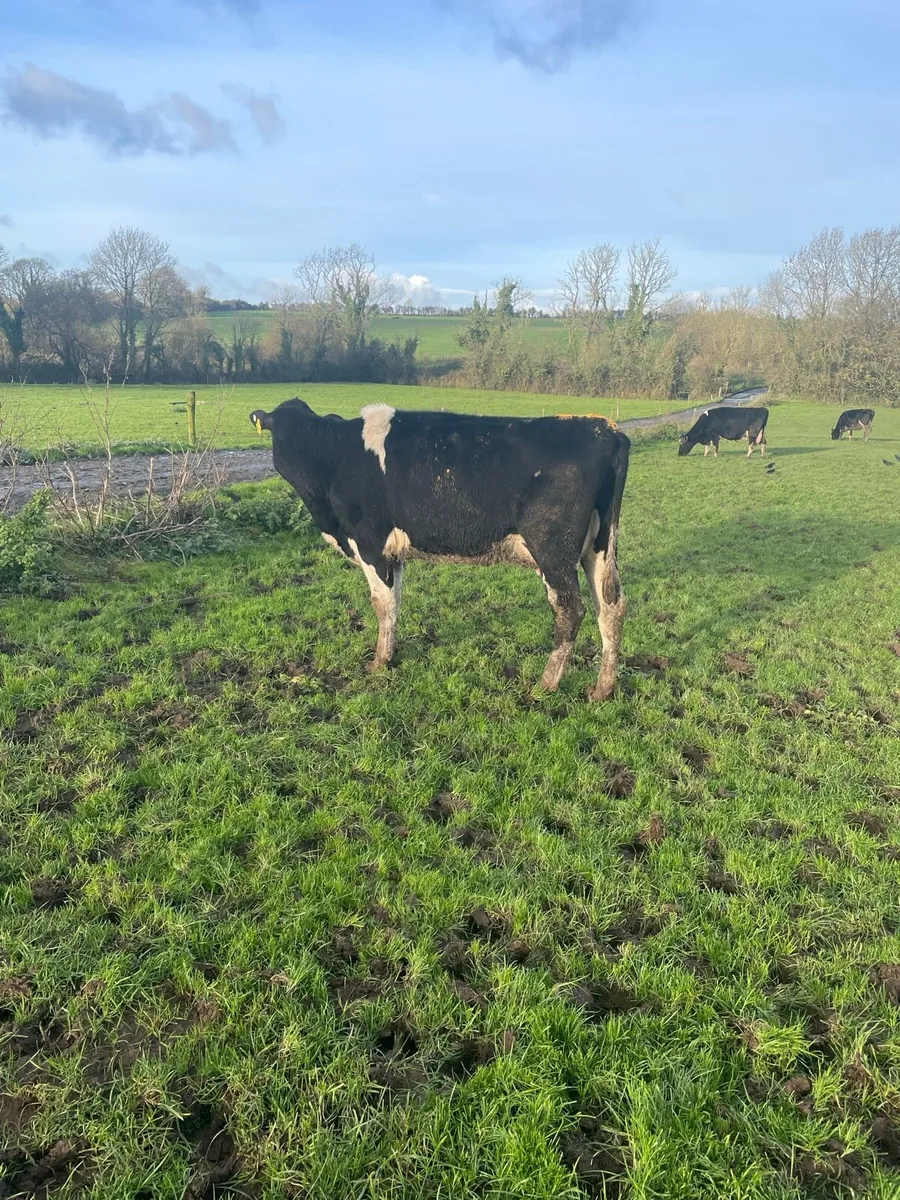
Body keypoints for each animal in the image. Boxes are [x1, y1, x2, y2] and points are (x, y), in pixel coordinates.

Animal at [250, 398, 630, 701]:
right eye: (281, 431)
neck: (336, 456)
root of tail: (605, 428)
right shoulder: (393, 554)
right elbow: (394, 603)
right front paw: (390, 653)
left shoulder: (370, 542)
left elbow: (380, 604)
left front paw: (379, 662)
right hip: (598, 548)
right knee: (610, 607)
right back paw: (602, 688)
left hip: (552, 550)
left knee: (570, 610)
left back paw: (546, 684)